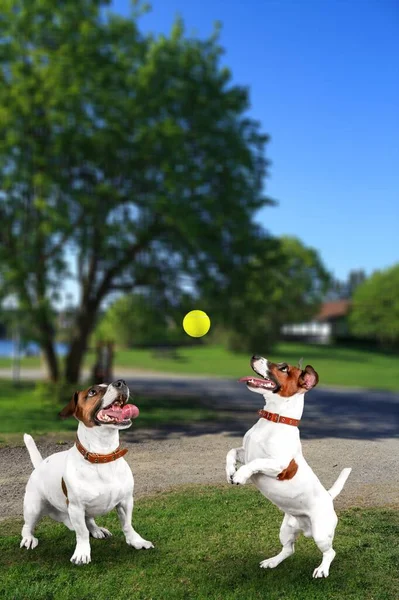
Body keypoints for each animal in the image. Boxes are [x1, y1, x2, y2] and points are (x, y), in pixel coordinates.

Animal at [20, 380, 155, 564]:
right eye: (92, 392)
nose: (121, 382)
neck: (103, 455)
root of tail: (40, 464)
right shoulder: (76, 508)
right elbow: (82, 533)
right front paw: (82, 553)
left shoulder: (126, 501)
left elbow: (127, 524)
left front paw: (136, 541)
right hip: (33, 507)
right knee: (27, 526)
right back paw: (28, 539)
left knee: (89, 520)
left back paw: (97, 530)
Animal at [227, 356, 352, 576]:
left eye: (283, 368)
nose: (254, 357)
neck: (274, 421)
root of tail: (328, 497)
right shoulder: (245, 453)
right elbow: (231, 452)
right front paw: (230, 471)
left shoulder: (280, 466)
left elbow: (257, 463)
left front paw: (240, 476)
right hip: (285, 530)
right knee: (289, 549)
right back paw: (272, 562)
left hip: (321, 534)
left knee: (330, 553)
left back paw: (322, 569)